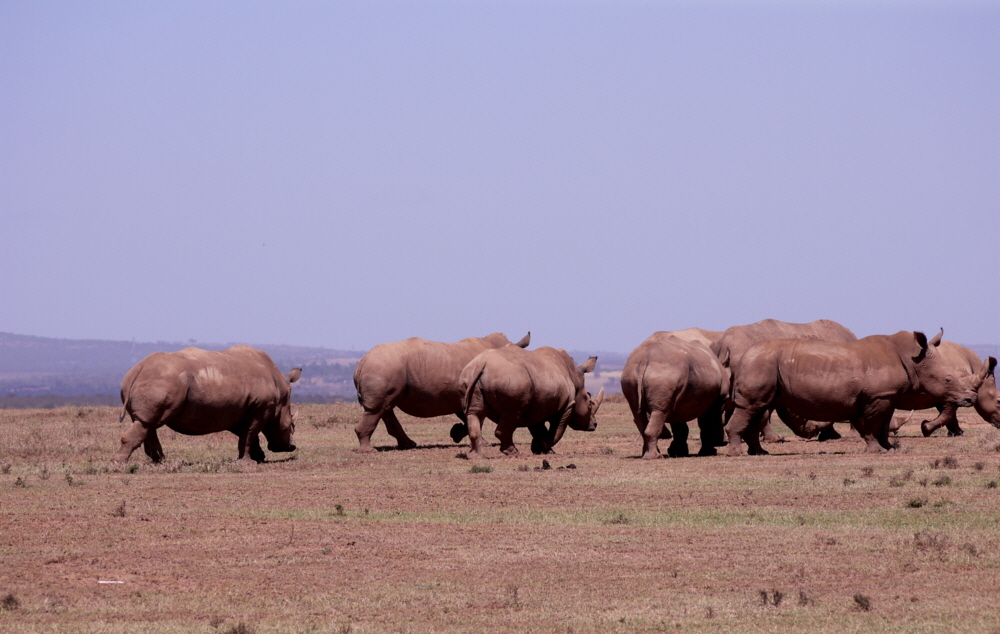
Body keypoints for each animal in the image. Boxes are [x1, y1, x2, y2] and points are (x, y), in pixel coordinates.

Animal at [114, 344, 300, 462]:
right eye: (291, 425)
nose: (291, 446)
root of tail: (138, 369)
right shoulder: (260, 408)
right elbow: (249, 434)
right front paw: (248, 463)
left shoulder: (236, 410)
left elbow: (246, 434)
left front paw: (259, 457)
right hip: (163, 380)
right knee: (148, 423)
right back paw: (120, 465)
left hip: (151, 380)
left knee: (146, 424)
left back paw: (161, 462)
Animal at [350, 330, 528, 450]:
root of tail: (362, 361)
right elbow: (477, 417)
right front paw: (480, 442)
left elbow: (467, 417)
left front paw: (456, 433)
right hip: (383, 368)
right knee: (378, 409)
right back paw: (369, 450)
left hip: (385, 368)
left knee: (386, 407)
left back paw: (408, 445)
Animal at [458, 344, 600, 456]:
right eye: (590, 403)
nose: (595, 425)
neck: (575, 379)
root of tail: (482, 363)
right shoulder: (566, 406)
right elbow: (556, 431)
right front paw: (543, 448)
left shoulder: (537, 405)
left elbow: (538, 429)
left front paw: (540, 448)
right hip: (512, 379)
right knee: (511, 414)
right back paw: (513, 452)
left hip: (469, 375)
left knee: (475, 413)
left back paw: (477, 456)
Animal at [724, 330, 988, 454]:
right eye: (948, 379)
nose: (970, 398)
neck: (913, 360)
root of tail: (743, 355)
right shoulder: (878, 396)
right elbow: (871, 425)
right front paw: (876, 451)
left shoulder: (887, 396)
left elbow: (883, 424)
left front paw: (889, 448)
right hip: (761, 364)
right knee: (752, 408)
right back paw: (738, 453)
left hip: (764, 365)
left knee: (758, 409)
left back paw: (760, 452)